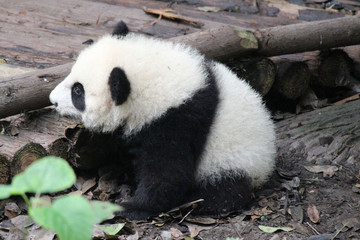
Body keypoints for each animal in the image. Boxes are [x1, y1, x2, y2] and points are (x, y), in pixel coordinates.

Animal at [50, 21, 276, 220]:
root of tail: (266, 167)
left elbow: (167, 172)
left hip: (235, 160)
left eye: (78, 91)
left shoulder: (177, 121)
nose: (53, 101)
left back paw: (195, 201)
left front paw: (132, 207)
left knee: (226, 191)